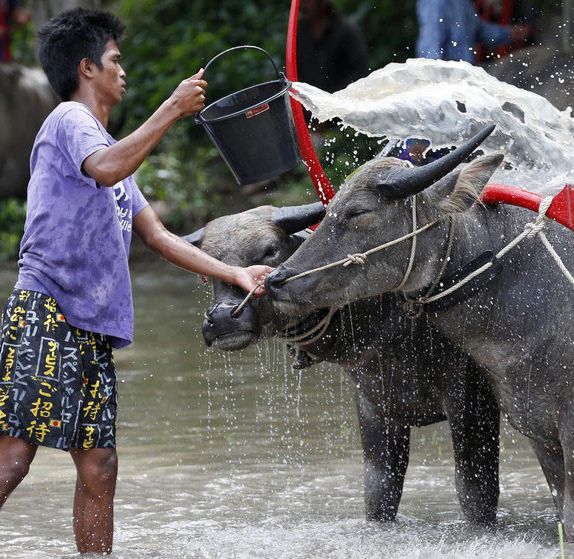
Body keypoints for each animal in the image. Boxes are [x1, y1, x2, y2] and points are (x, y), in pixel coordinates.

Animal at [187, 205, 502, 524]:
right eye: (206, 272)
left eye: (269, 250)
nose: (223, 318)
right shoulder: (373, 405)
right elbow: (380, 490)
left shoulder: (470, 398)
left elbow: (476, 491)